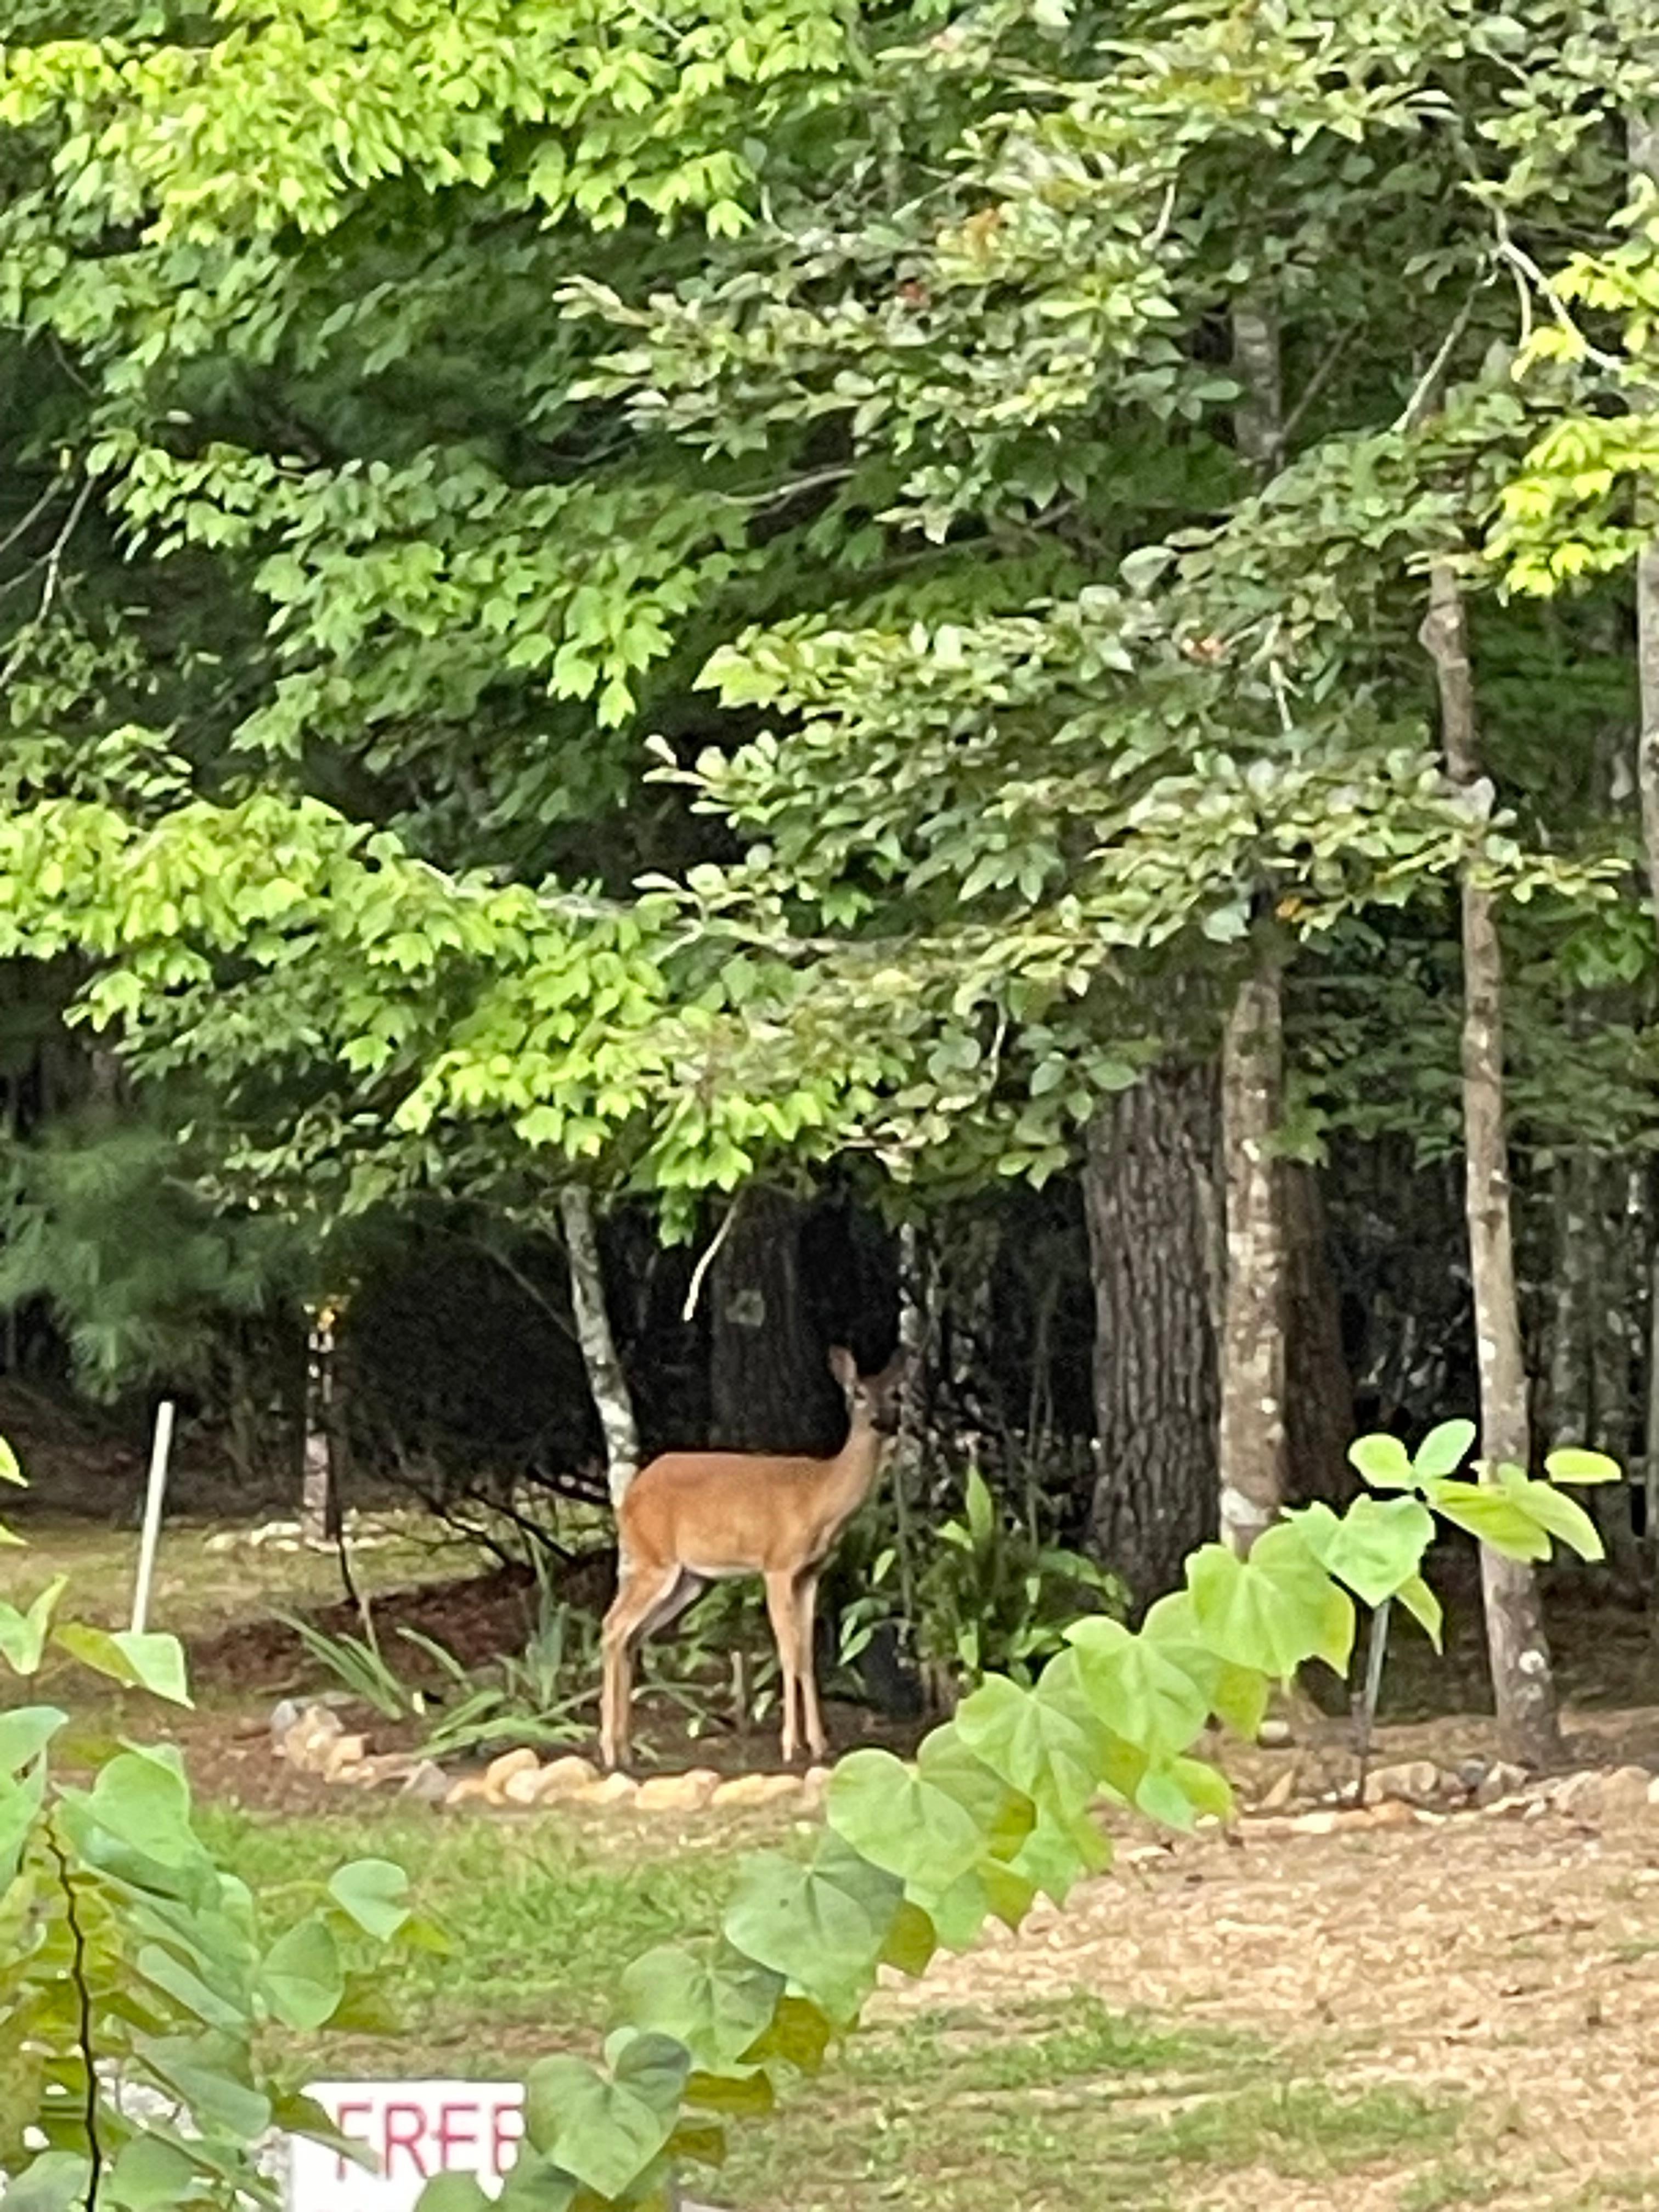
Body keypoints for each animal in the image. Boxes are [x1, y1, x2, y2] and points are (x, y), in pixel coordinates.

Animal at [599, 1345, 906, 1772]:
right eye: (858, 1393)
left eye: (895, 1393)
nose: (884, 1422)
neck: (821, 1498)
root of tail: (629, 1497)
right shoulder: (777, 1565)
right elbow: (789, 1651)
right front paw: (791, 1746)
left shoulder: (810, 1573)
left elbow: (807, 1654)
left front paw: (819, 1744)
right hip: (654, 1560)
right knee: (612, 1628)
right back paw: (610, 1750)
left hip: (686, 1579)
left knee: (630, 1636)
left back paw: (627, 1749)